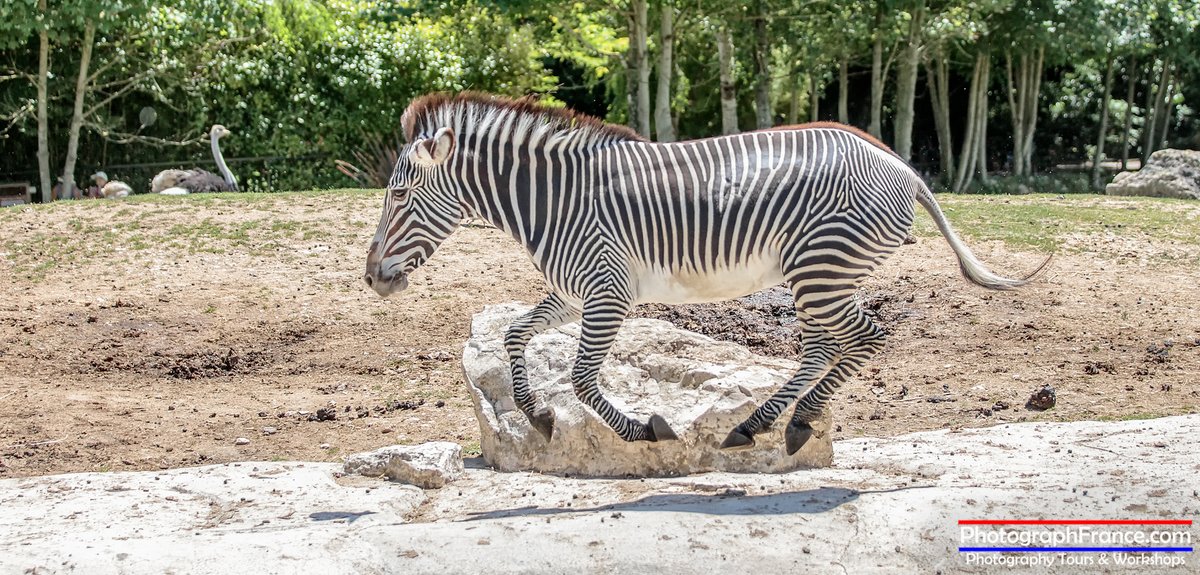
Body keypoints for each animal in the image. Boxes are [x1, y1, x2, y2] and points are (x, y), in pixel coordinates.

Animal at [360, 93, 1046, 453]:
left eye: (398, 195)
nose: (370, 278)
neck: (553, 202)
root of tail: (898, 162)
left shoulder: (609, 292)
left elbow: (582, 378)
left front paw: (645, 429)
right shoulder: (574, 291)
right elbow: (514, 334)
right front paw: (537, 416)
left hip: (822, 270)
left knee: (865, 337)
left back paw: (791, 420)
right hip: (823, 276)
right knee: (827, 346)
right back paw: (768, 422)